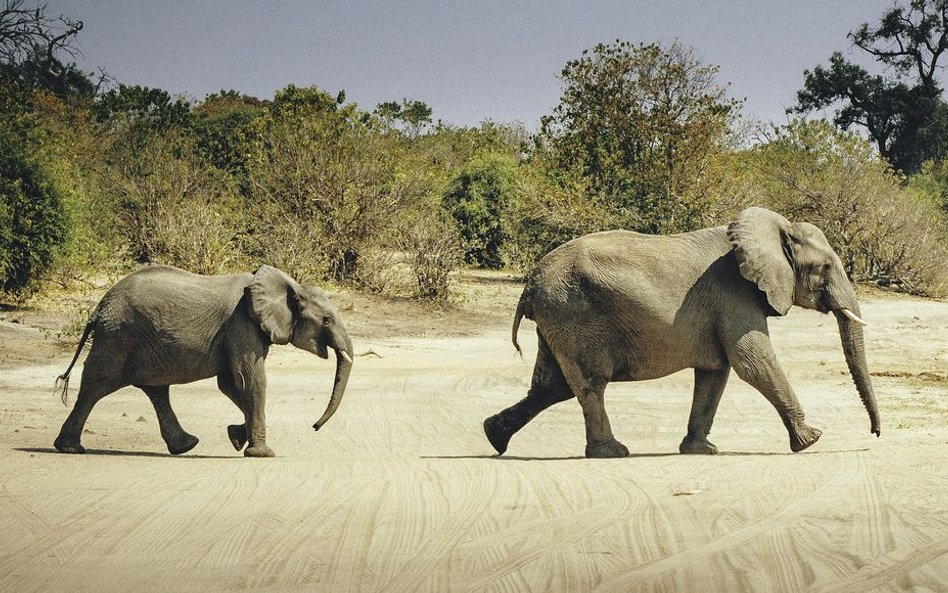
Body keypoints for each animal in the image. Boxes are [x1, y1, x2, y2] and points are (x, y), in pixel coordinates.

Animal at [53, 264, 354, 458]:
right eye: (327, 320)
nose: (314, 426)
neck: (288, 285)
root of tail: (99, 307)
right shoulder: (242, 325)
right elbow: (250, 380)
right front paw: (261, 453)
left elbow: (232, 384)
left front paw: (236, 437)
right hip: (118, 336)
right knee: (97, 383)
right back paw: (70, 448)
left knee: (156, 390)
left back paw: (185, 446)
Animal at [488, 206, 880, 456]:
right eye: (824, 267)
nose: (875, 434)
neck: (772, 228)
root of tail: (530, 283)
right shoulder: (734, 295)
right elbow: (753, 363)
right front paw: (812, 439)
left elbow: (715, 373)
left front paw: (703, 450)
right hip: (572, 313)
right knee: (588, 384)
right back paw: (612, 452)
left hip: (556, 318)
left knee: (551, 387)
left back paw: (493, 437)